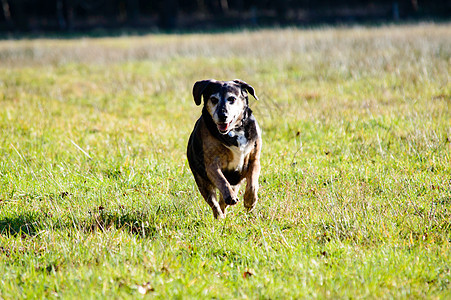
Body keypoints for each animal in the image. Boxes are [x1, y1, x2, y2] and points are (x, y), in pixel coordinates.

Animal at [186, 79, 262, 220]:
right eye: (214, 99)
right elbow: (222, 180)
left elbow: (252, 183)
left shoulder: (254, 160)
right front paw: (230, 197)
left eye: (231, 99)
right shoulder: (211, 165)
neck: (234, 131)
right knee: (215, 203)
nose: (222, 115)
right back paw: (220, 217)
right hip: (202, 182)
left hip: (235, 183)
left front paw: (250, 201)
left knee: (222, 202)